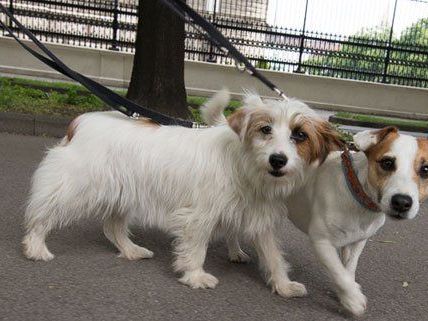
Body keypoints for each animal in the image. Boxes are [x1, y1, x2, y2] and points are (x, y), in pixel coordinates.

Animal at [22, 90, 342, 296]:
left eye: (300, 135)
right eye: (265, 129)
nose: (278, 160)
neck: (245, 165)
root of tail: (82, 120)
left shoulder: (258, 217)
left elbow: (274, 256)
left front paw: (283, 286)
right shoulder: (199, 216)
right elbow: (196, 248)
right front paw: (195, 276)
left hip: (122, 195)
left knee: (112, 227)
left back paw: (131, 250)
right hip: (72, 188)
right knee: (41, 215)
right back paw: (36, 247)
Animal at [203, 102, 428, 312]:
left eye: (425, 170)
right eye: (387, 162)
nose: (402, 202)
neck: (355, 194)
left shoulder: (357, 242)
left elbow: (348, 270)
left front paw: (346, 293)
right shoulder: (322, 241)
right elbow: (339, 272)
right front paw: (353, 299)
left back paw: (235, 252)